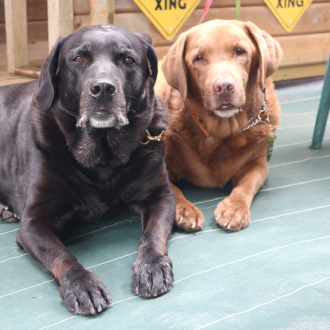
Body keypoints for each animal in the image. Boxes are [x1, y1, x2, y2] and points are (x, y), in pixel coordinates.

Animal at [0, 25, 175, 314]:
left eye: (128, 60)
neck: (101, 156)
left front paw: (152, 266)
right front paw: (82, 284)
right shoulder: (34, 222)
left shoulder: (161, 197)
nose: (103, 88)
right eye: (78, 58)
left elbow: (154, 234)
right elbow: (62, 254)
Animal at [156, 20, 282, 232]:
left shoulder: (258, 163)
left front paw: (235, 208)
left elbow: (246, 185)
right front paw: (185, 209)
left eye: (240, 51)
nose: (223, 87)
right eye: (198, 58)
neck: (220, 133)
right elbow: (172, 190)